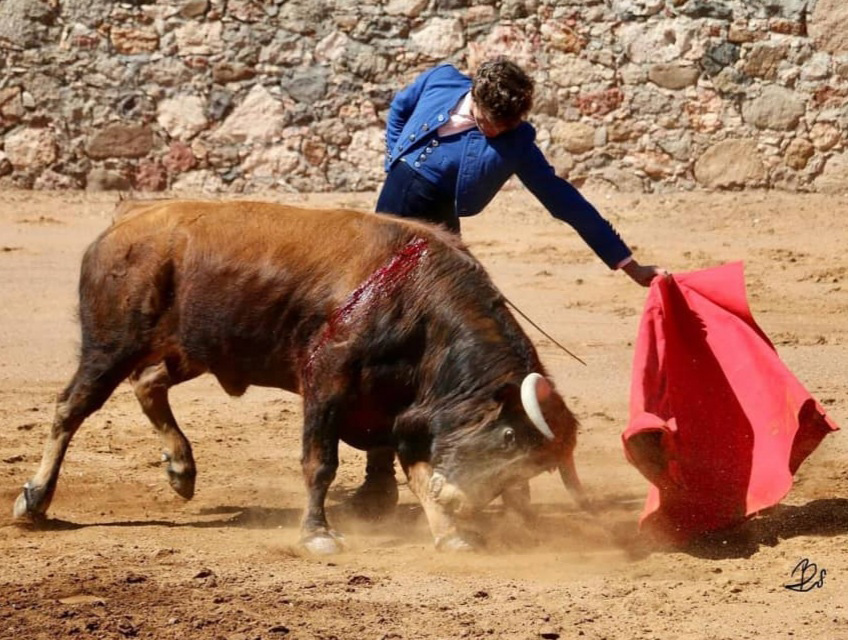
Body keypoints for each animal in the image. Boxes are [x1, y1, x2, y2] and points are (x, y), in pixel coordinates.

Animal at [13, 200, 585, 553]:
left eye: (533, 467)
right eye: (507, 435)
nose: (461, 501)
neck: (417, 301)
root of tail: (127, 219)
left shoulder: (406, 411)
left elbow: (420, 472)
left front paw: (450, 534)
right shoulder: (325, 383)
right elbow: (320, 463)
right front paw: (317, 535)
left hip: (194, 347)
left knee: (149, 382)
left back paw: (181, 470)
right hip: (110, 345)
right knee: (71, 407)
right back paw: (34, 501)